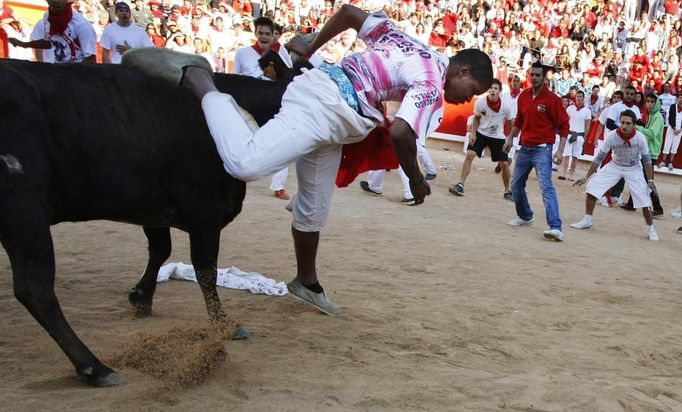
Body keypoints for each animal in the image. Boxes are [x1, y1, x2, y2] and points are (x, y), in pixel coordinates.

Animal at [0, 59, 288, 388]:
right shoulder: (204, 212)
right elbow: (205, 270)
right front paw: (223, 323)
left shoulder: (152, 206)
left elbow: (161, 250)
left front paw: (141, 297)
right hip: (24, 210)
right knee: (35, 289)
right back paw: (94, 366)